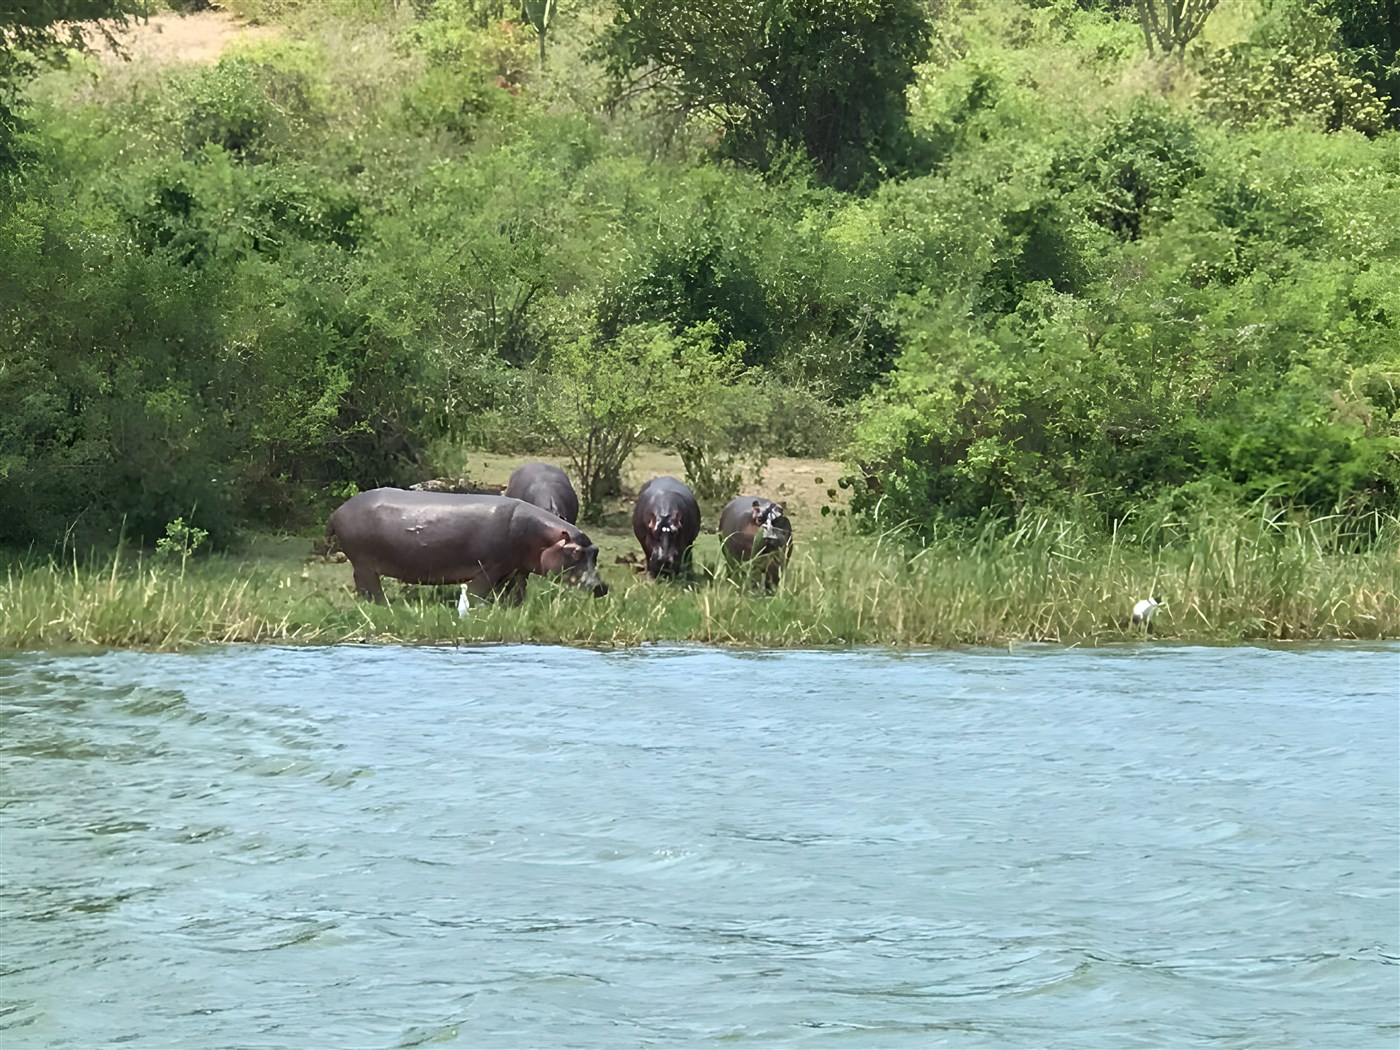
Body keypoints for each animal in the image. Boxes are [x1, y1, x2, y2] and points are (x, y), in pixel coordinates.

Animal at [326, 488, 607, 603]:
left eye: (596, 552)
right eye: (575, 552)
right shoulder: (490, 567)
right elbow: (477, 591)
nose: (602, 587)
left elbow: (517, 592)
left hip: (361, 563)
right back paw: (382, 604)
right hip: (364, 562)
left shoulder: (517, 570)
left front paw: (513, 608)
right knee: (369, 584)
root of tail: (337, 510)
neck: (543, 537)